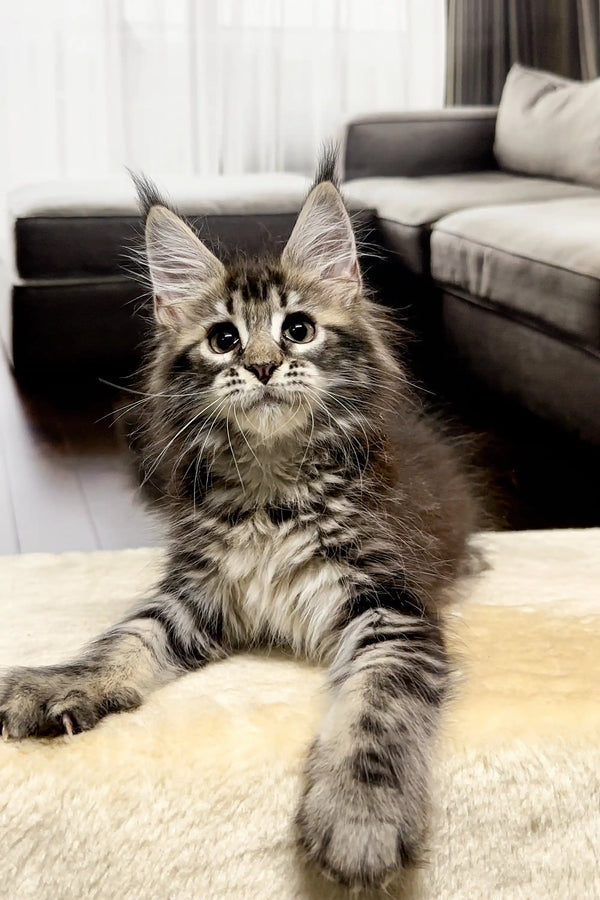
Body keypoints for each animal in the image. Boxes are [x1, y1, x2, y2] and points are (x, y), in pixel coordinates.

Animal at [1, 165, 478, 888]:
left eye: (299, 329)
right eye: (224, 339)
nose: (260, 365)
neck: (271, 493)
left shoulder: (391, 608)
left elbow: (376, 706)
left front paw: (360, 815)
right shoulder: (197, 591)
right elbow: (125, 639)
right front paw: (60, 683)